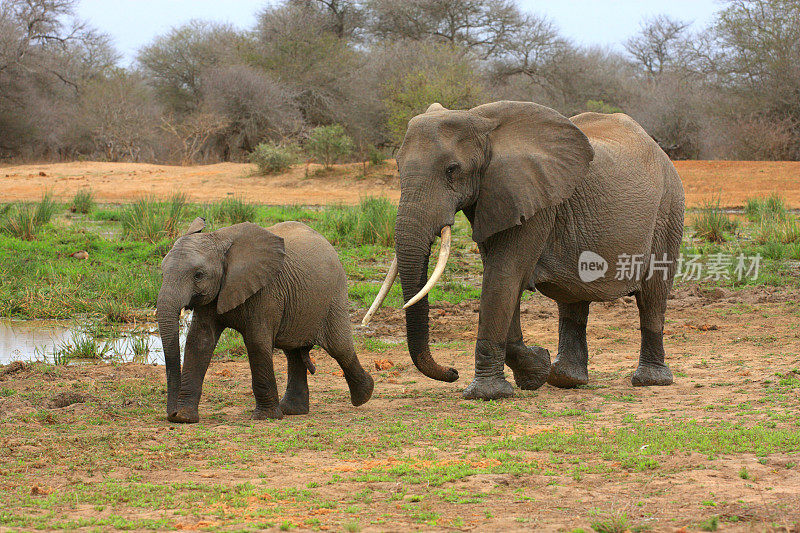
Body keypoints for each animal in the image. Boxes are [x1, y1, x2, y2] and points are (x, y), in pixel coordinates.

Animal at [156, 217, 376, 424]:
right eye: (162, 272)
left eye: (198, 275)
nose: (171, 413)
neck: (219, 238)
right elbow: (199, 341)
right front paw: (184, 418)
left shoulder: (265, 291)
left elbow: (256, 342)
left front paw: (266, 417)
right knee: (293, 353)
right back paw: (292, 410)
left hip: (333, 296)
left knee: (340, 347)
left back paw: (364, 395)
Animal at [366, 100, 684, 400]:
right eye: (398, 168)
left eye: (452, 170)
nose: (452, 372)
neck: (479, 119)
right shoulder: (498, 196)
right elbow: (503, 280)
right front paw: (536, 370)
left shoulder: (534, 202)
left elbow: (504, 275)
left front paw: (487, 394)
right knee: (573, 299)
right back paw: (565, 379)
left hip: (668, 210)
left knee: (652, 296)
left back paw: (649, 380)